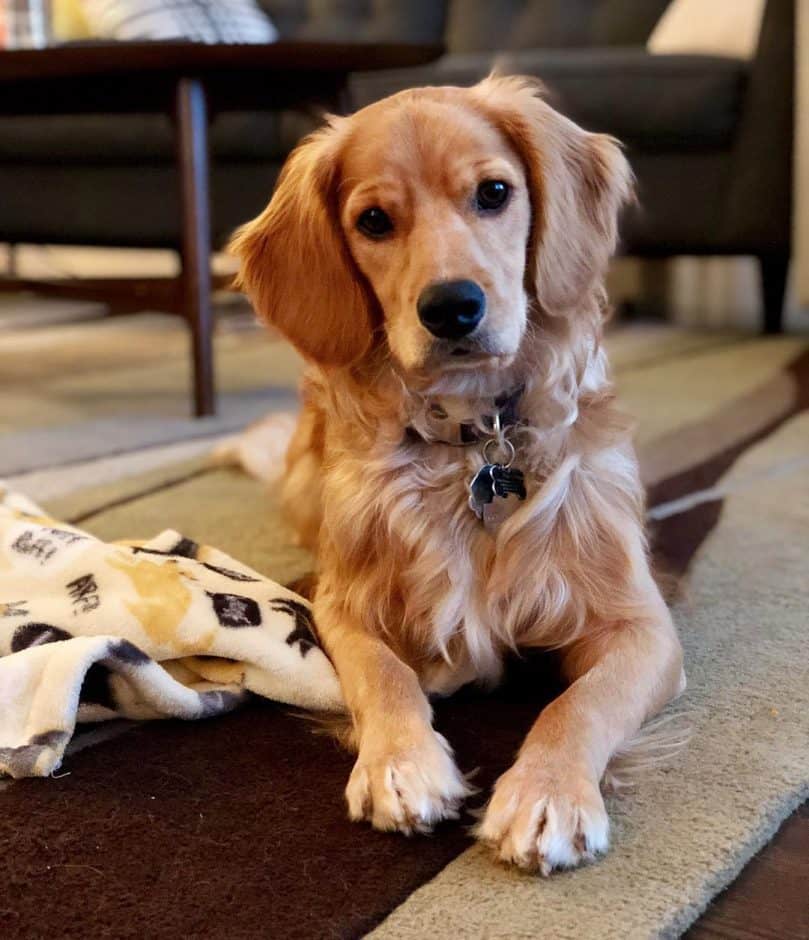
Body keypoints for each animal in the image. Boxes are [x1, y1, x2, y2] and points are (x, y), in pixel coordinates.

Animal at [230, 77, 684, 876]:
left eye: (493, 192)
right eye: (373, 220)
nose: (452, 307)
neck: (475, 441)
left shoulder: (642, 624)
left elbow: (579, 704)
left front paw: (546, 791)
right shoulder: (339, 604)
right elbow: (381, 674)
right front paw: (400, 763)